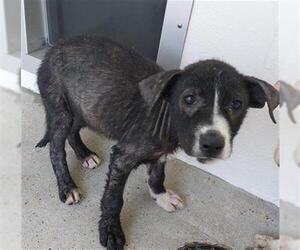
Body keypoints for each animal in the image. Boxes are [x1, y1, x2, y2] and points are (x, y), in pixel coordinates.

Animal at [37, 36, 278, 249]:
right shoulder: (123, 157)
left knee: (73, 131)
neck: (168, 118)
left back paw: (85, 154)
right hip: (61, 109)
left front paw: (161, 196)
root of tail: (53, 48)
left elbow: (157, 174)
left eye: (237, 104)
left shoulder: (161, 153)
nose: (212, 143)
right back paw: (67, 186)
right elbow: (113, 199)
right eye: (188, 99)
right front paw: (111, 231)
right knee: (56, 148)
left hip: (84, 108)